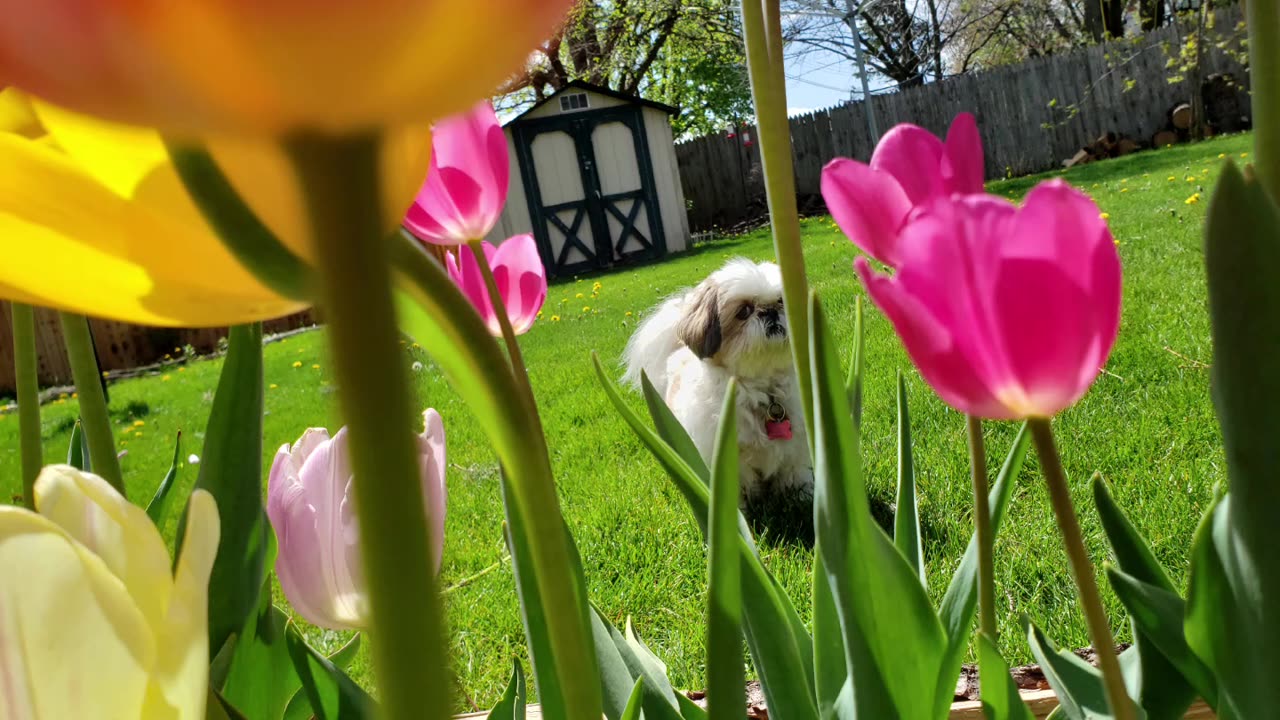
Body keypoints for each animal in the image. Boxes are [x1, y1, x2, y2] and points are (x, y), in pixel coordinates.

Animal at [624, 256, 814, 504]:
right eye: (744, 311)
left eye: (782, 302)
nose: (771, 312)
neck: (763, 390)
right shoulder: (726, 456)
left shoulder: (795, 445)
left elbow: (794, 473)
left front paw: (802, 496)